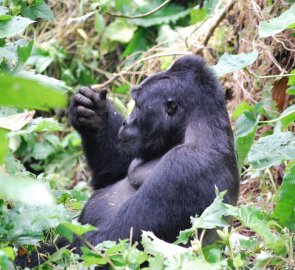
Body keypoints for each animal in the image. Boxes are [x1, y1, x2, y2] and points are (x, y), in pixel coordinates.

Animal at [15, 55, 240, 268]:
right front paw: (96, 114)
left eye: (138, 107)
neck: (194, 125)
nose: (125, 122)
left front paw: (32, 258)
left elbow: (113, 241)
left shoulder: (184, 167)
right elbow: (114, 172)